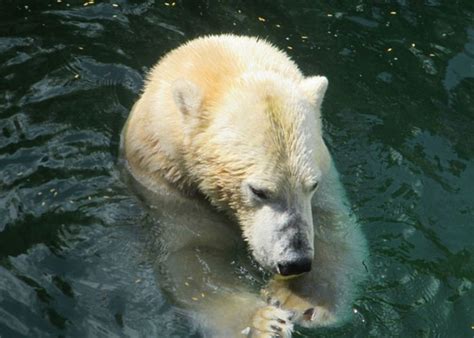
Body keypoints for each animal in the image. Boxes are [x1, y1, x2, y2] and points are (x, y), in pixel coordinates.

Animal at [120, 35, 368, 338]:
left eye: (312, 185)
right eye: (259, 191)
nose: (294, 261)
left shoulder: (325, 178)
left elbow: (334, 231)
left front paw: (299, 299)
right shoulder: (171, 187)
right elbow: (194, 256)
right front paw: (266, 323)